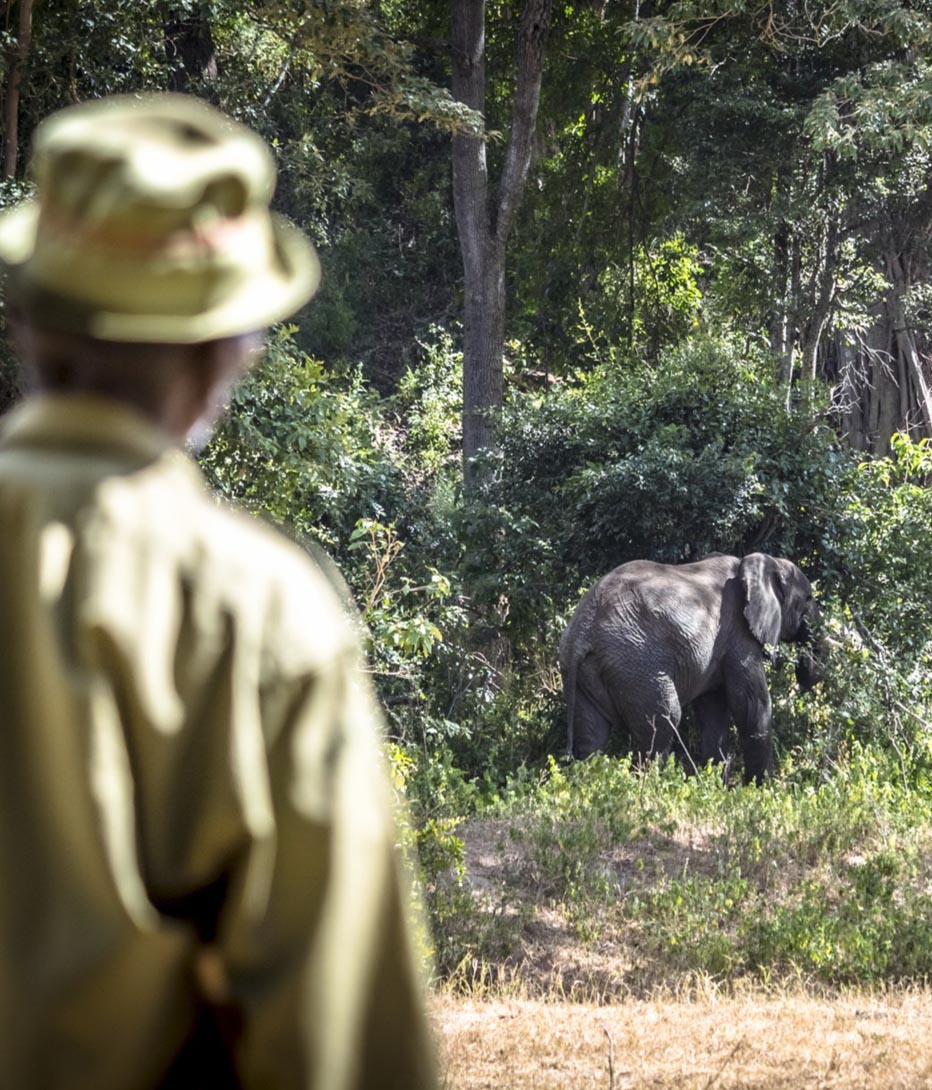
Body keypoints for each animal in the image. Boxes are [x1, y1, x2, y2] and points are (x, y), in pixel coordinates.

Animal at [559, 553, 821, 784]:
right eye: (808, 598)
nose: (805, 680)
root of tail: (583, 631)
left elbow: (713, 710)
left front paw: (717, 788)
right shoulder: (738, 633)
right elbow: (750, 706)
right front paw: (760, 791)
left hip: (586, 671)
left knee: (591, 733)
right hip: (634, 664)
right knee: (663, 720)